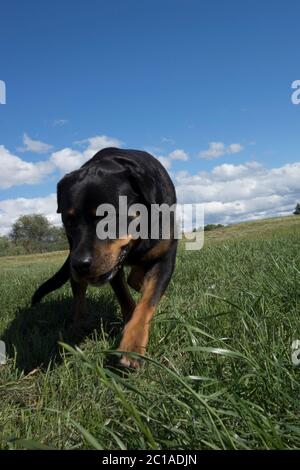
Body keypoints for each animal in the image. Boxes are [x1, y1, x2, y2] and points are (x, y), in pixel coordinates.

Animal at [32, 147, 178, 368]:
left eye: (108, 217)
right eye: (69, 221)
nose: (80, 263)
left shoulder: (165, 256)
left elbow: (148, 300)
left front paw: (132, 343)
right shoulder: (111, 267)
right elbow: (125, 298)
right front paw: (129, 332)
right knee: (79, 291)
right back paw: (78, 325)